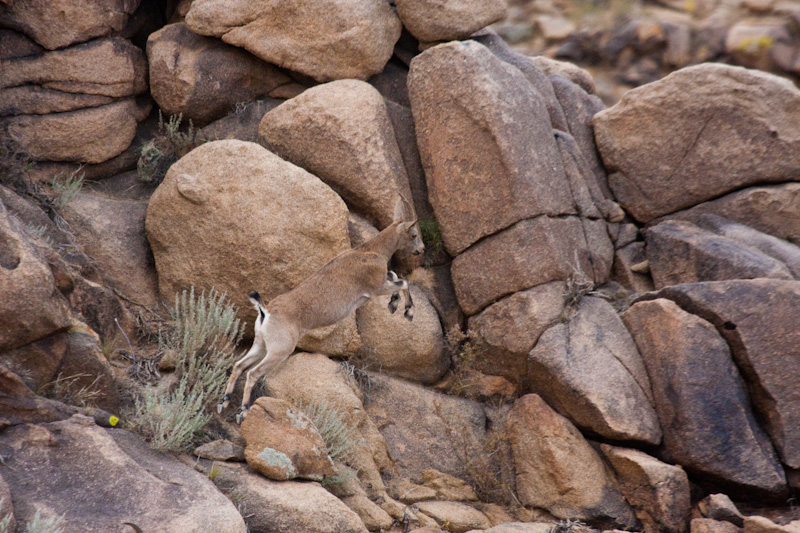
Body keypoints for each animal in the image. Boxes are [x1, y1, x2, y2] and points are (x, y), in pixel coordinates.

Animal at [216, 193, 422, 422]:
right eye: (414, 234)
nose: (420, 249)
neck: (371, 251)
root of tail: (265, 312)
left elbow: (395, 277)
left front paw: (394, 304)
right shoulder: (375, 287)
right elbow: (403, 282)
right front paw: (406, 310)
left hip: (261, 344)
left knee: (239, 365)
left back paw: (223, 402)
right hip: (280, 349)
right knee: (253, 373)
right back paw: (242, 410)